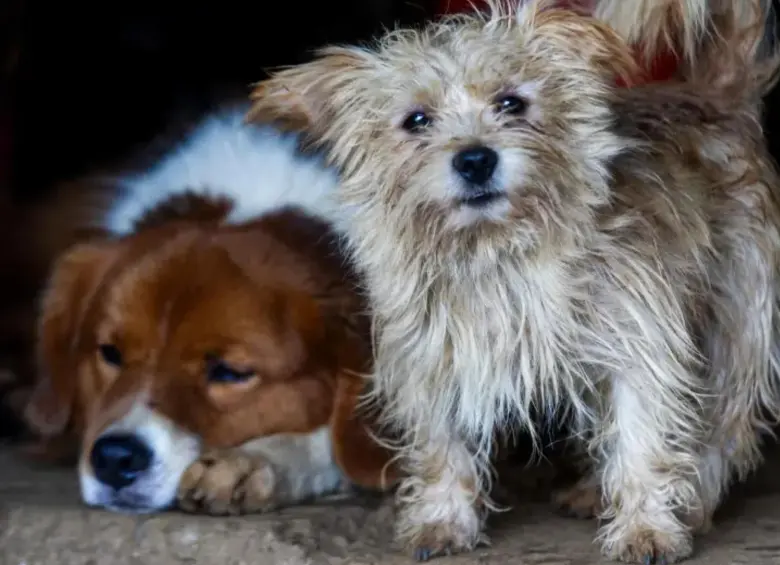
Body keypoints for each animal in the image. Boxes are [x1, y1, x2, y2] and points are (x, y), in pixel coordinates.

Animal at [247, 0, 780, 560]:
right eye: (416, 120)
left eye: (512, 103)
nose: (475, 158)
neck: (497, 252)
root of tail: (714, 95)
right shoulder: (432, 358)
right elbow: (442, 446)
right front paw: (443, 520)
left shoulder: (640, 349)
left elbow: (642, 441)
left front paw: (646, 529)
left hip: (737, 327)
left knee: (724, 429)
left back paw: (694, 502)